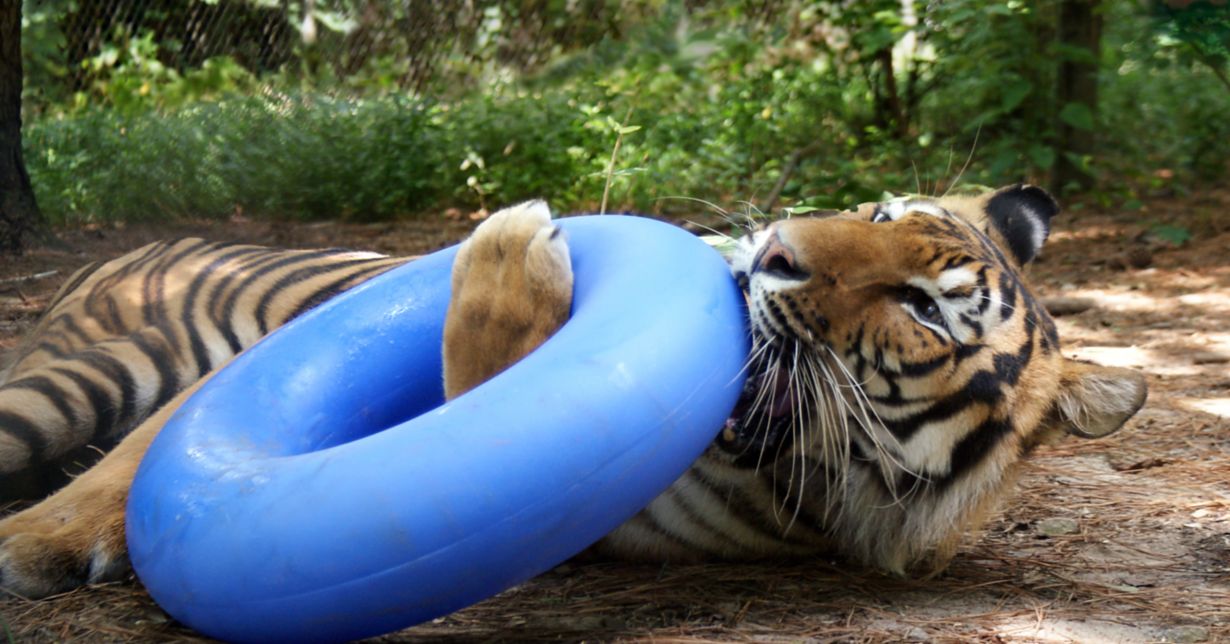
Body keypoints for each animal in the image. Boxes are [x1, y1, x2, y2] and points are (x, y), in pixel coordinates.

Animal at [0, 185, 1141, 604]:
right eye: (879, 211)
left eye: (924, 308)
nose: (771, 250)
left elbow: (481, 373)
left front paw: (509, 246)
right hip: (83, 378)